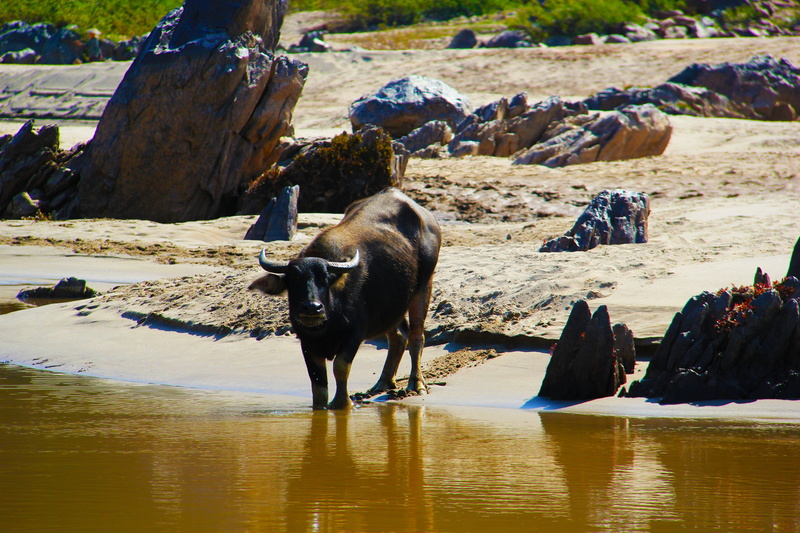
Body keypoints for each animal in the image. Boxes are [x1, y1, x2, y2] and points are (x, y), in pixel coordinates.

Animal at [249, 188, 442, 409]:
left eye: (325, 278)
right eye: (294, 280)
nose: (312, 308)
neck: (328, 322)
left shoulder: (353, 335)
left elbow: (340, 367)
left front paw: (342, 402)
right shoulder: (307, 342)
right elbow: (317, 381)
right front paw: (321, 407)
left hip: (424, 284)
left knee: (416, 335)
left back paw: (416, 384)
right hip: (392, 306)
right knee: (398, 336)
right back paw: (383, 383)